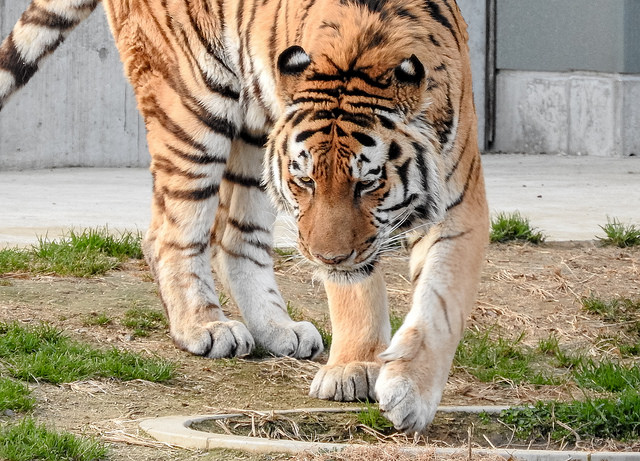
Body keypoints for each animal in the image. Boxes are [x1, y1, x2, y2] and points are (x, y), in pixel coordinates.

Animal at [0, 0, 488, 433]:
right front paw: (356, 369)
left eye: (367, 183)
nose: (327, 259)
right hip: (192, 107)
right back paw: (205, 326)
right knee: (170, 233)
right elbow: (356, 291)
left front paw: (409, 391)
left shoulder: (458, 204)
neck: (364, 47)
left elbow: (440, 303)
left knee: (233, 237)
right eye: (306, 181)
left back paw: (277, 329)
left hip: (256, 127)